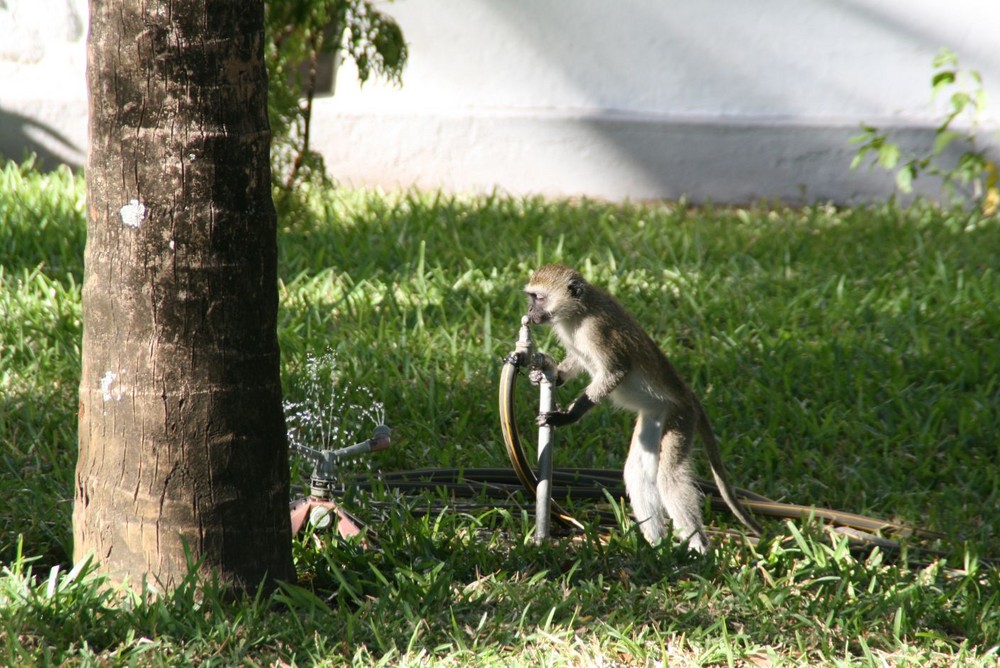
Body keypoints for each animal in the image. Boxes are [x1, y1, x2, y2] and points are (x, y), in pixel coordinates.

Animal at [524, 264, 756, 552]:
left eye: (538, 298)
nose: (530, 312)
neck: (577, 312)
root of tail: (689, 397)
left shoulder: (597, 331)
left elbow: (615, 371)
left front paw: (567, 416)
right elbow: (577, 360)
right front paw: (547, 377)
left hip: (681, 418)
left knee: (669, 478)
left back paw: (699, 548)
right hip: (657, 415)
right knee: (638, 473)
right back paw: (656, 546)